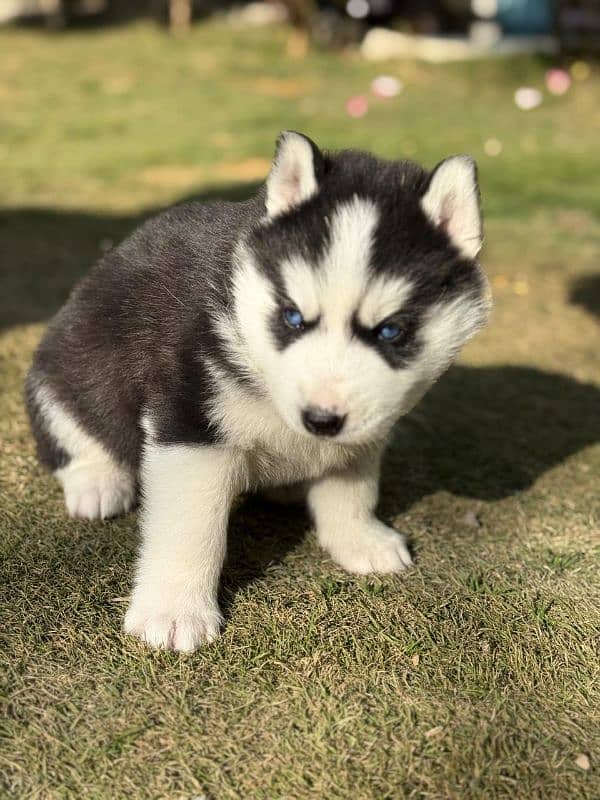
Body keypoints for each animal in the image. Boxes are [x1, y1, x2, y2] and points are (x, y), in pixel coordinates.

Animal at [25, 133, 490, 648]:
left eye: (390, 331)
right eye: (292, 317)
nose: (321, 420)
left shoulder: (365, 426)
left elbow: (351, 487)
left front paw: (360, 539)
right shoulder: (190, 422)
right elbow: (190, 528)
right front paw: (174, 611)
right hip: (65, 365)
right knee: (72, 429)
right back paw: (98, 482)